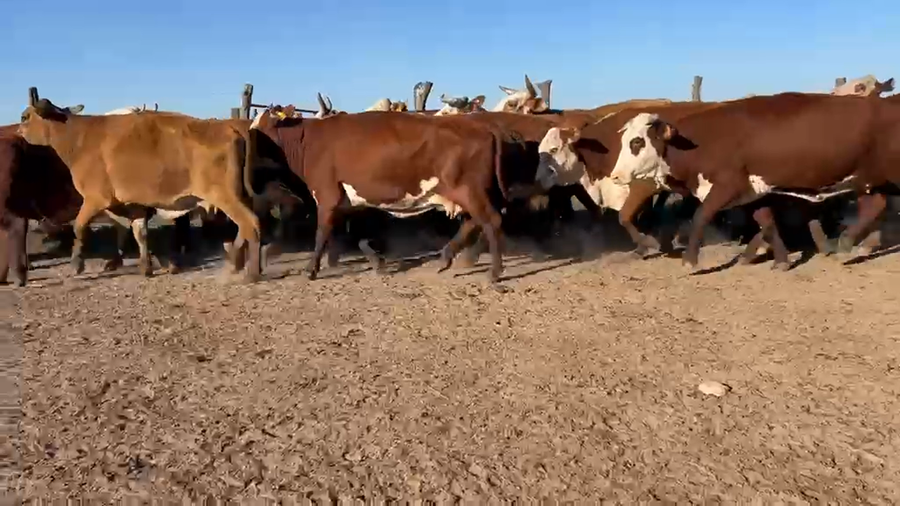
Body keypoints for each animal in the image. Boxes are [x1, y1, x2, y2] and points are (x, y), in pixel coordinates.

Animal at [17, 89, 269, 282]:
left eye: (25, 117)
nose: (18, 130)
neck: (79, 138)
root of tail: (230, 129)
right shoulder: (135, 204)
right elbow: (141, 233)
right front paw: (146, 267)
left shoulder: (96, 199)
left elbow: (79, 228)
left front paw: (76, 264)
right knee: (246, 227)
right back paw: (236, 261)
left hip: (225, 196)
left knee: (252, 225)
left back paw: (251, 273)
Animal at [247, 108, 531, 284]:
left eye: (261, 132)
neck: (309, 141)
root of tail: (484, 126)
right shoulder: (351, 198)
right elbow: (358, 233)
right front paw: (377, 261)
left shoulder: (327, 195)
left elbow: (321, 233)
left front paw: (311, 269)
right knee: (473, 223)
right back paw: (446, 257)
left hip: (470, 190)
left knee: (491, 222)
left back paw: (494, 272)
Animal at [607, 90, 900, 270]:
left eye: (637, 142)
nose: (616, 175)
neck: (705, 139)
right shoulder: (753, 190)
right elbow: (766, 221)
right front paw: (781, 260)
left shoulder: (727, 186)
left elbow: (701, 216)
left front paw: (690, 260)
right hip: (867, 178)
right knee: (875, 205)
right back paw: (848, 243)